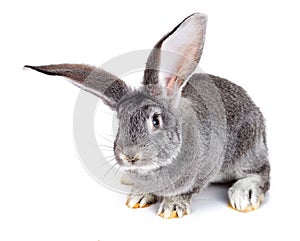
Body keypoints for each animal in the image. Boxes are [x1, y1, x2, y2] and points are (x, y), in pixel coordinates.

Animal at [25, 13, 270, 219]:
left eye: (155, 121)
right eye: (120, 121)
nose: (130, 157)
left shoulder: (204, 170)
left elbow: (187, 191)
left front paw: (172, 207)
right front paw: (139, 195)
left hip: (247, 148)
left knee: (262, 172)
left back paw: (244, 194)